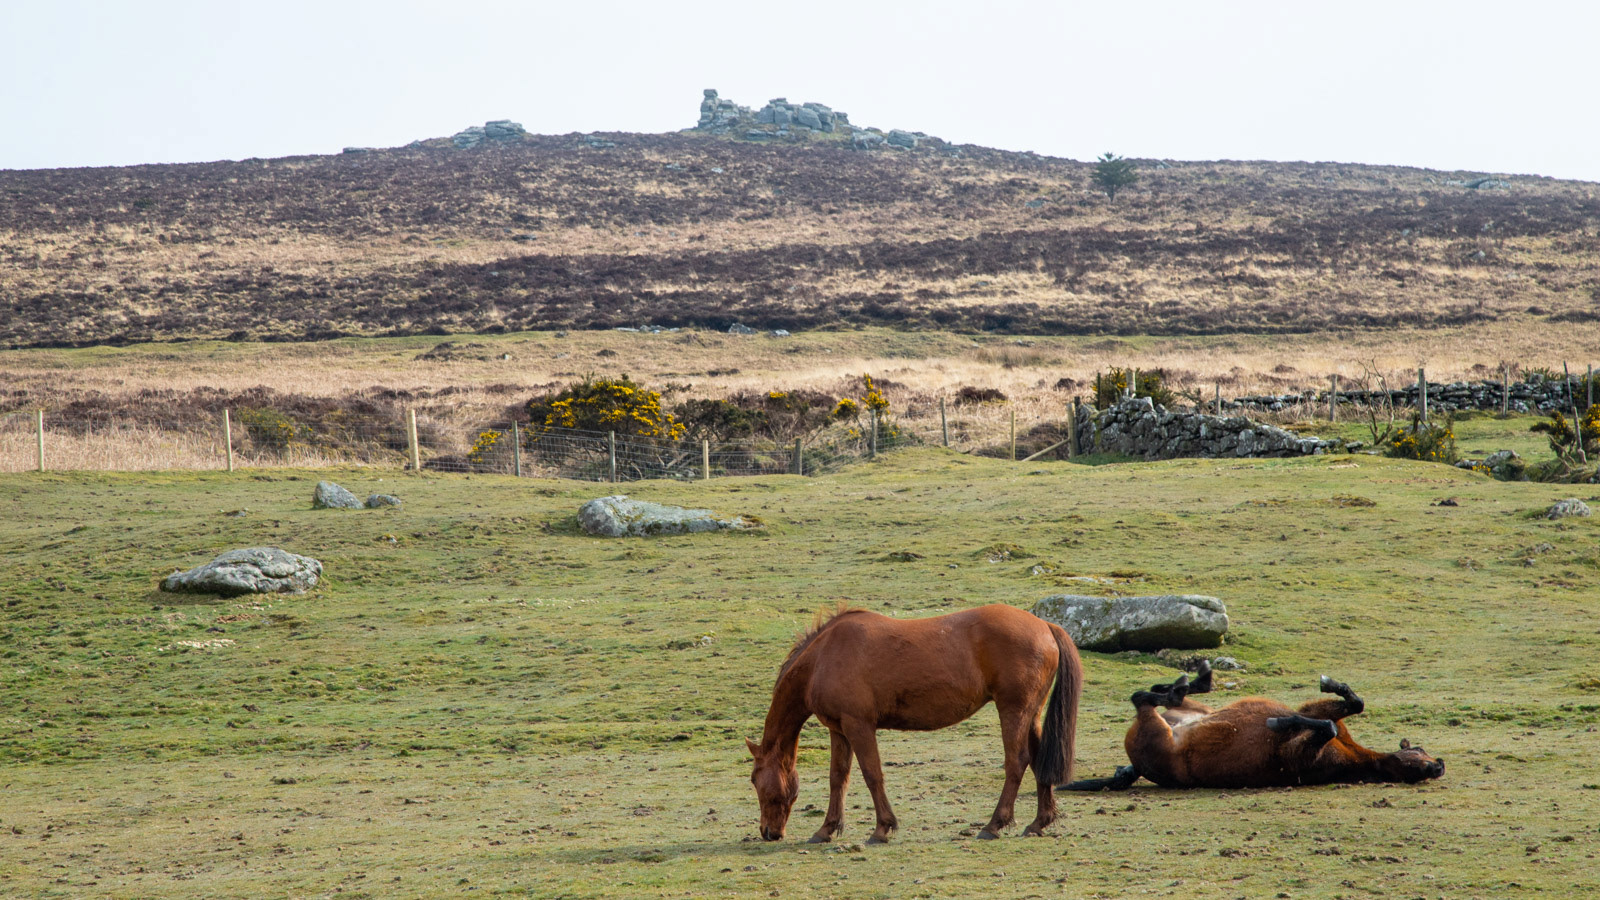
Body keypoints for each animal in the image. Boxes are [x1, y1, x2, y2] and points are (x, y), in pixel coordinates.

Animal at [747, 603, 1082, 843]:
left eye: (754, 779)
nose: (769, 833)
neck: (824, 655)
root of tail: (1046, 626)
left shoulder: (859, 726)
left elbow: (872, 774)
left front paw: (882, 828)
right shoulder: (839, 729)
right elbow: (838, 778)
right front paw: (826, 829)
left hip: (1013, 711)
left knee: (1017, 762)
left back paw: (993, 825)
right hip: (1031, 714)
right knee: (1039, 761)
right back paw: (1039, 823)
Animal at [1064, 660, 1444, 791]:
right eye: (1420, 750)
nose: (1438, 765)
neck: (1357, 759)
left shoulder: (1298, 755)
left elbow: (1326, 727)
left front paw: (1279, 720)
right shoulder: (1316, 714)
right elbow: (1347, 708)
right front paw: (1329, 685)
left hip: (1154, 728)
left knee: (1143, 699)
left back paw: (1188, 683)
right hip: (1188, 712)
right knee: (1157, 695)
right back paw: (1192, 680)